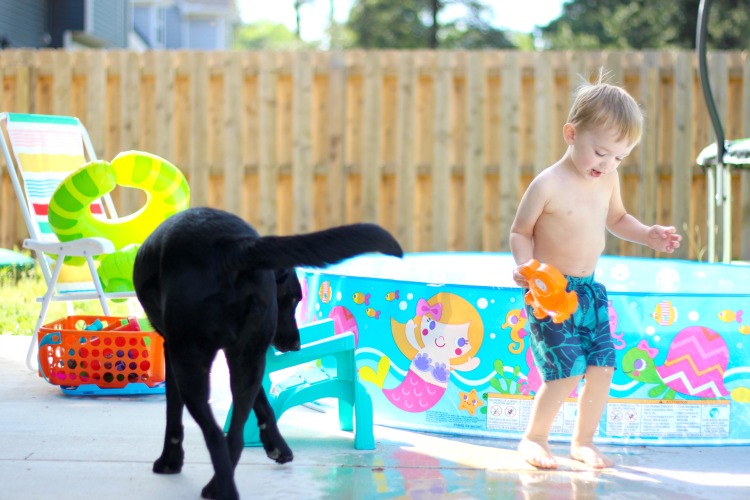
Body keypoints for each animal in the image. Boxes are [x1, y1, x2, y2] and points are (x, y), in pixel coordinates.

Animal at [135, 205, 406, 498]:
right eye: (290, 299)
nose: (296, 345)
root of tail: (231, 247)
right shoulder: (245, 355)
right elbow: (263, 402)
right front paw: (278, 446)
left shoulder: (172, 349)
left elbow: (173, 414)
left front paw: (169, 461)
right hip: (248, 359)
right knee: (235, 438)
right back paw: (221, 485)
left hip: (190, 361)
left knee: (216, 436)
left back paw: (220, 488)